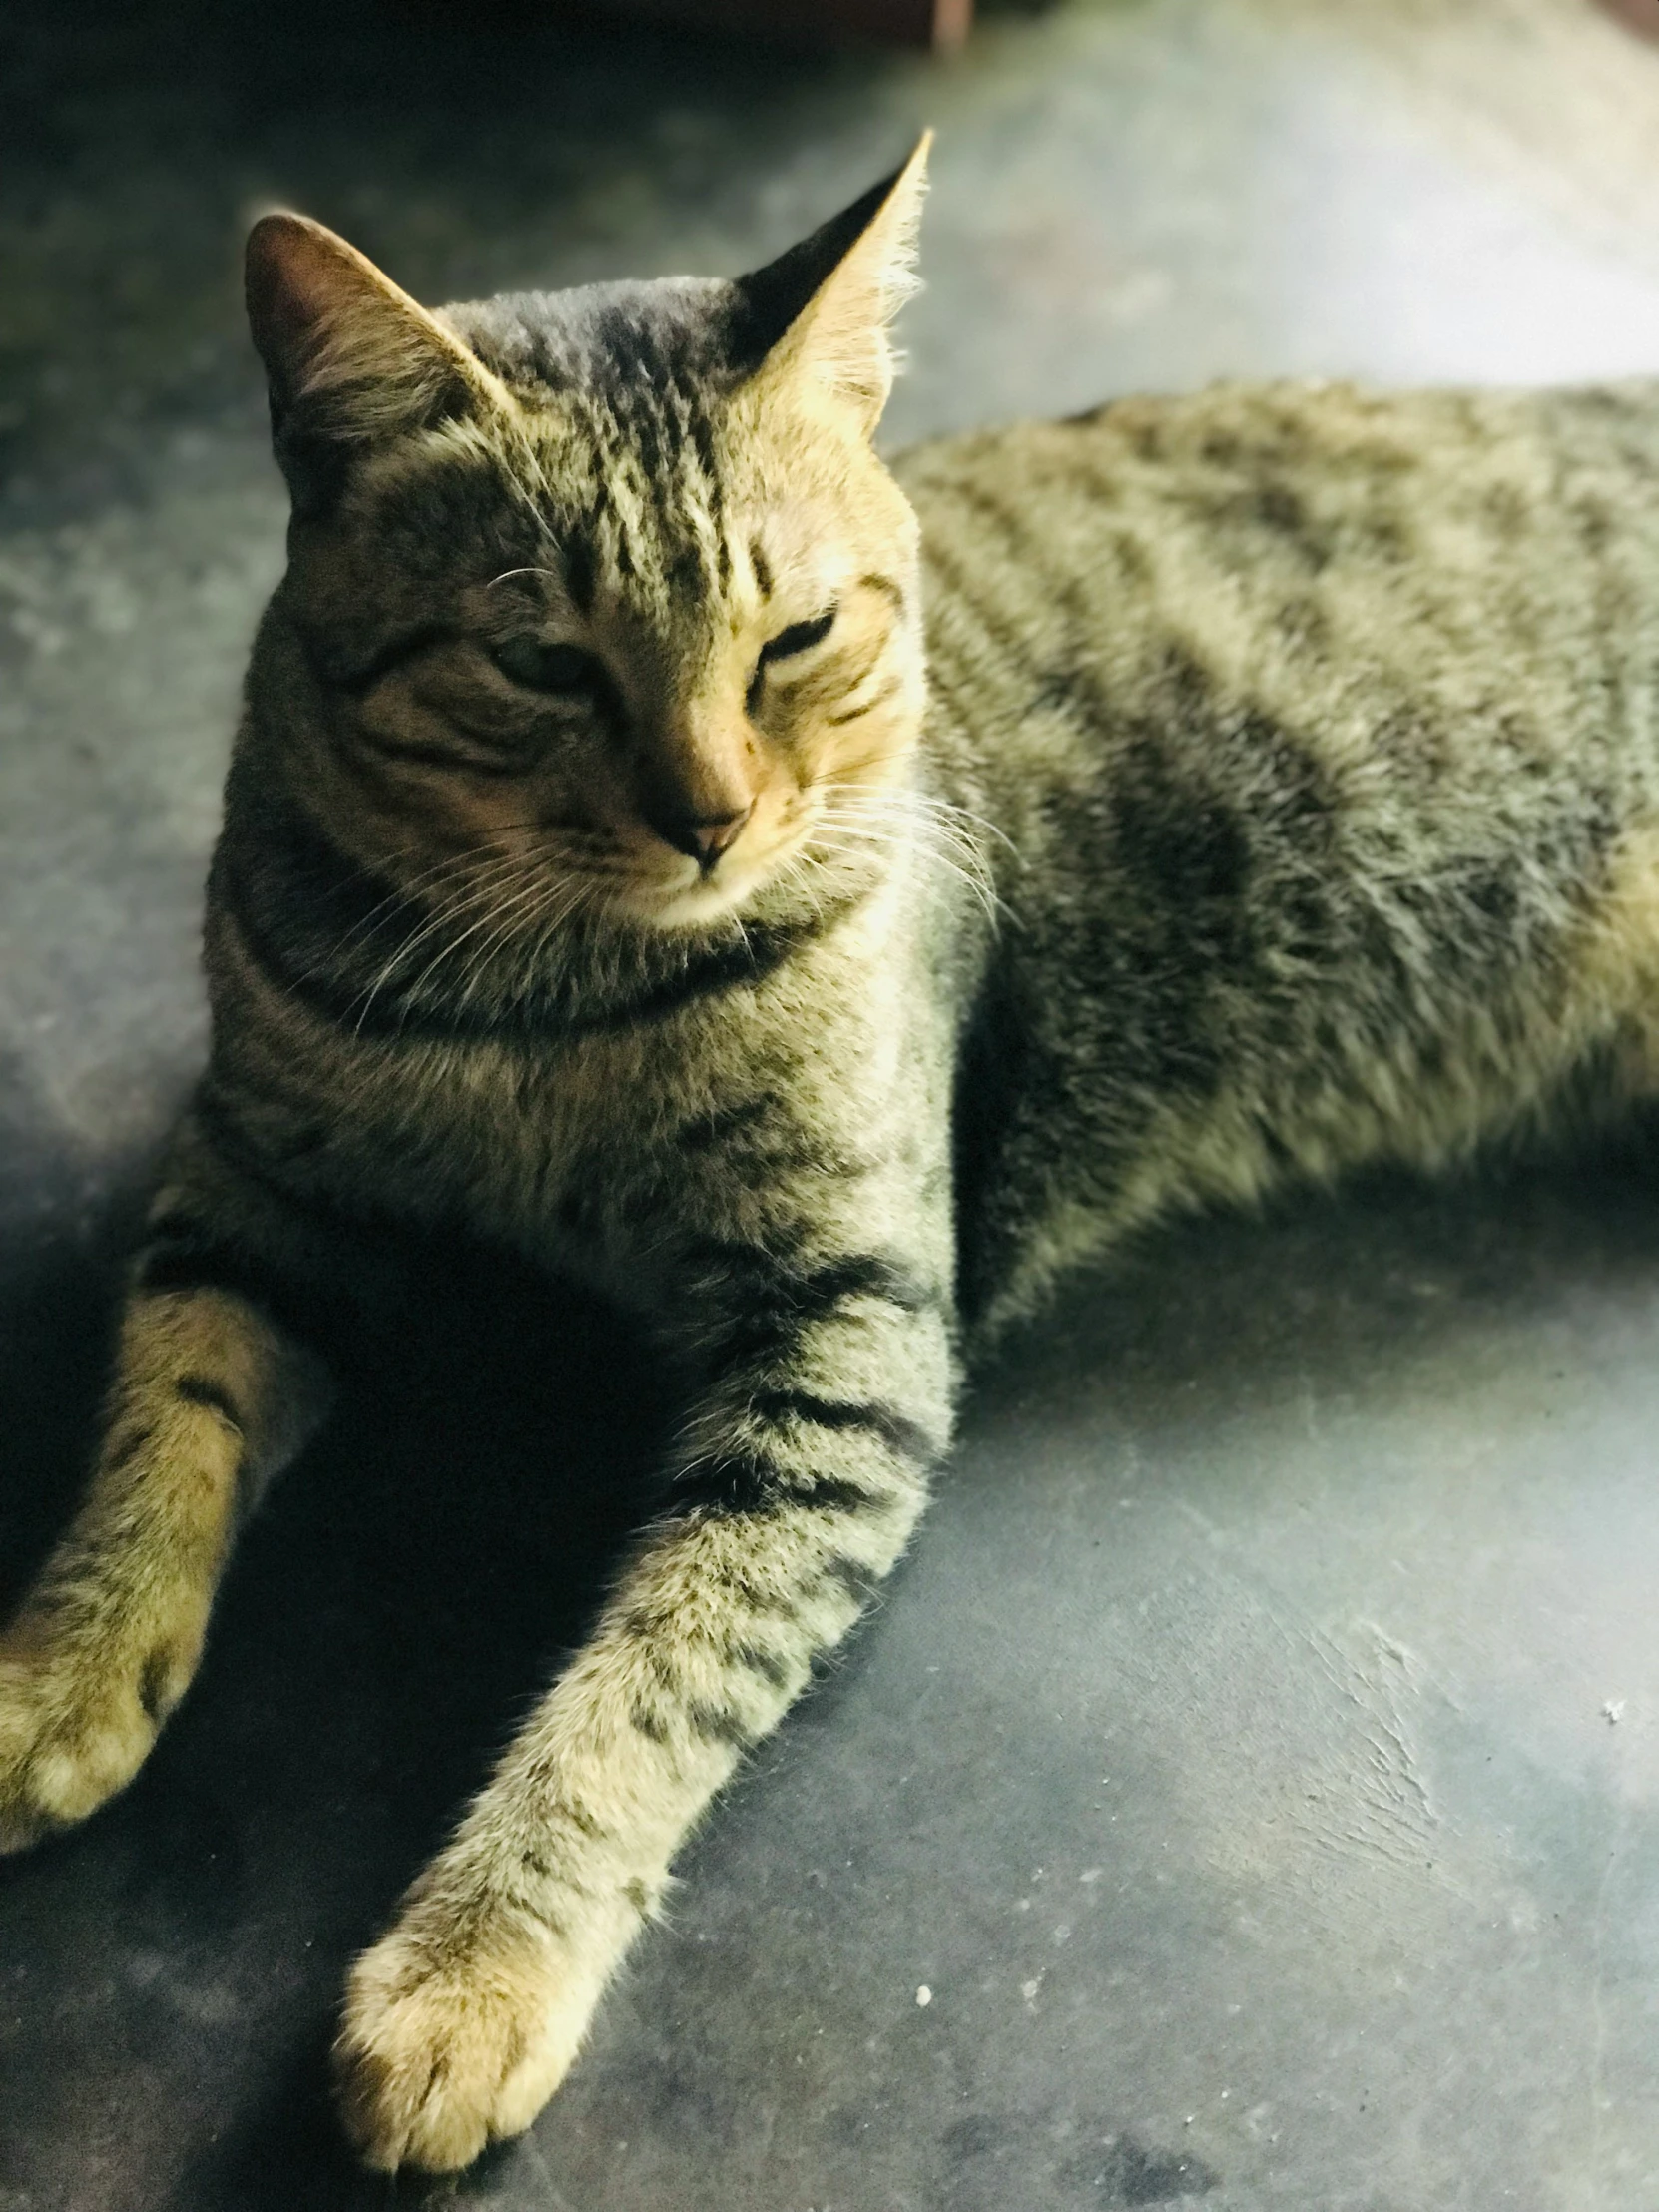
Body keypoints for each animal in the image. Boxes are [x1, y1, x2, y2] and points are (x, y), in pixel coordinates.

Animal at [3, 138, 1659, 2176]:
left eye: (794, 635)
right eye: (540, 661)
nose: (709, 820)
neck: (554, 1002)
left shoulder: (841, 1326)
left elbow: (646, 1682)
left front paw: (474, 1970)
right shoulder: (252, 1180)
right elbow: (159, 1429)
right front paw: (64, 1667)